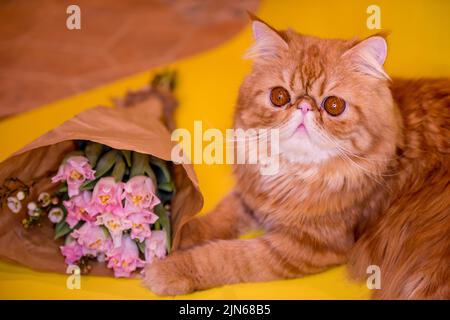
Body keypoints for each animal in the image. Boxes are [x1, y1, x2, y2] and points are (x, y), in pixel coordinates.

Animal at [142, 17, 448, 298]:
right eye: (279, 97)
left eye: (333, 105)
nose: (303, 107)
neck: (294, 174)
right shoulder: (251, 200)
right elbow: (213, 219)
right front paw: (173, 236)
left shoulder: (308, 245)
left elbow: (227, 255)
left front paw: (169, 269)